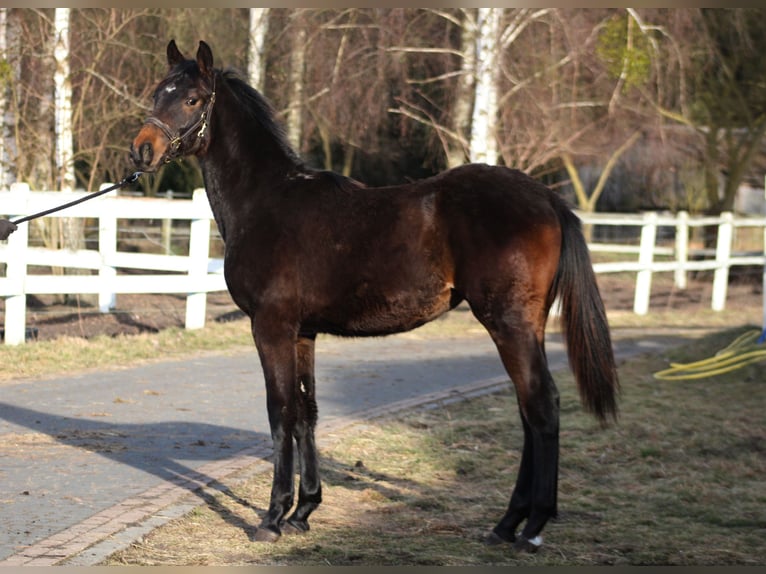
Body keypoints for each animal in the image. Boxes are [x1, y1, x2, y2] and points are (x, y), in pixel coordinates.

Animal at [130, 40, 619, 552]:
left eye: (191, 99)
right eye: (157, 92)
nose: (141, 150)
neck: (266, 202)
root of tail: (548, 198)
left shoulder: (271, 327)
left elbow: (280, 411)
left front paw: (273, 517)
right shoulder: (303, 333)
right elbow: (306, 413)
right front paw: (304, 511)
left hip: (509, 323)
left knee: (541, 406)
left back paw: (531, 526)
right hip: (527, 324)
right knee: (529, 410)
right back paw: (508, 523)